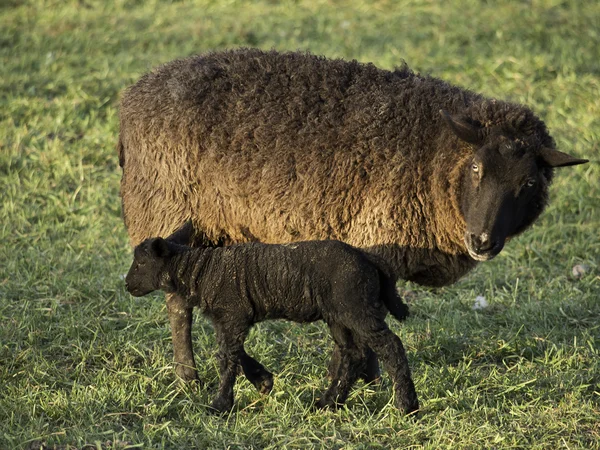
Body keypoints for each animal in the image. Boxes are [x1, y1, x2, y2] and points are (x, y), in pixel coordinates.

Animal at [116, 46, 584, 384]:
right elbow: (368, 321)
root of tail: (134, 95)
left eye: (530, 184)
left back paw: (253, 376)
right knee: (178, 300)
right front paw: (371, 383)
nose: (483, 241)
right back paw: (189, 377)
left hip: (210, 223)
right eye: (475, 170)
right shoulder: (375, 242)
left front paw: (364, 380)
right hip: (164, 207)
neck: (432, 151)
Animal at [124, 236, 420, 414]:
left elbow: (227, 358)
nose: (126, 285)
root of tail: (368, 258)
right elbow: (233, 353)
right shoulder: (229, 318)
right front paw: (263, 381)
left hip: (356, 308)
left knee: (390, 346)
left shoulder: (233, 315)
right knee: (354, 354)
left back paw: (407, 406)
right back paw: (328, 402)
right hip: (339, 315)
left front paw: (220, 405)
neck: (202, 271)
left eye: (140, 263)